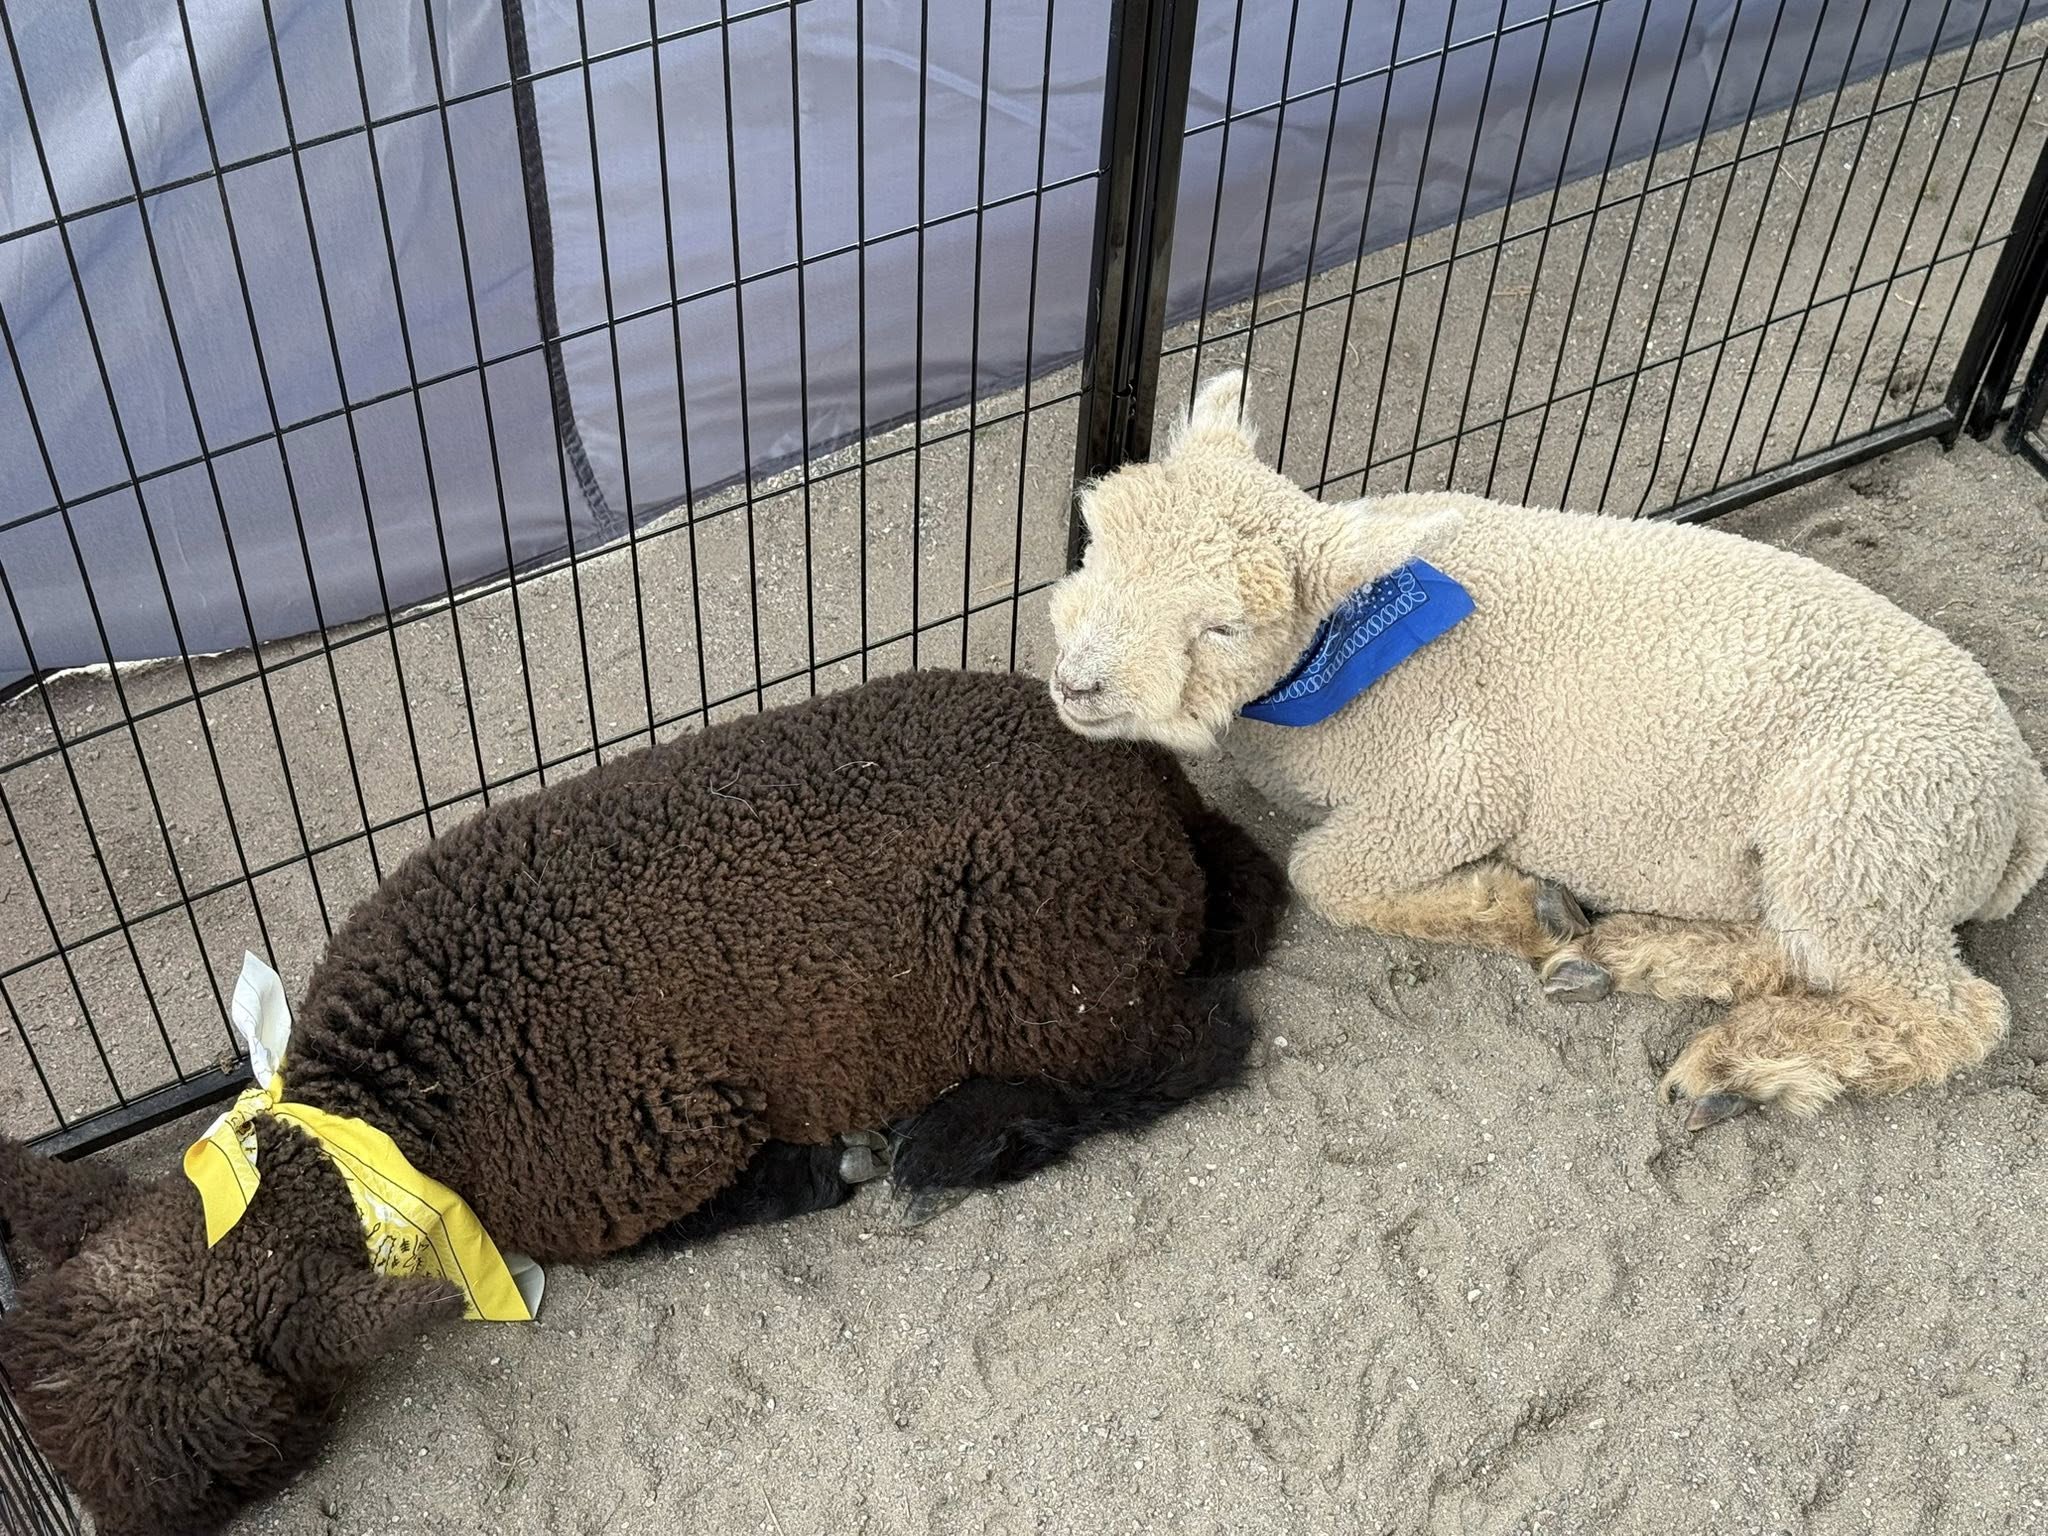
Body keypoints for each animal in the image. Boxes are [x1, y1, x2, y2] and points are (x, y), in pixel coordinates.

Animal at [0, 667, 1283, 1536]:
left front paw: (824, 1167)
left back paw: (956, 1141)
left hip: (1047, 961)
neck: (400, 1115)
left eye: (224, 1477)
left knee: (1187, 1049)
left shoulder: (655, 1137)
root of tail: (1148, 782)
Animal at [1046, 369, 2047, 1129]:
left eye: (1223, 626)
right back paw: (1640, 956)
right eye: (1095, 542)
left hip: (1867, 831)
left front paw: (1518, 909)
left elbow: (1323, 871)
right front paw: (1545, 918)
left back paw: (1740, 1067)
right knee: (1790, 948)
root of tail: (2021, 802)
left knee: (1952, 1015)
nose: (1077, 684)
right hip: (1852, 860)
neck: (1332, 671)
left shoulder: (1455, 780)